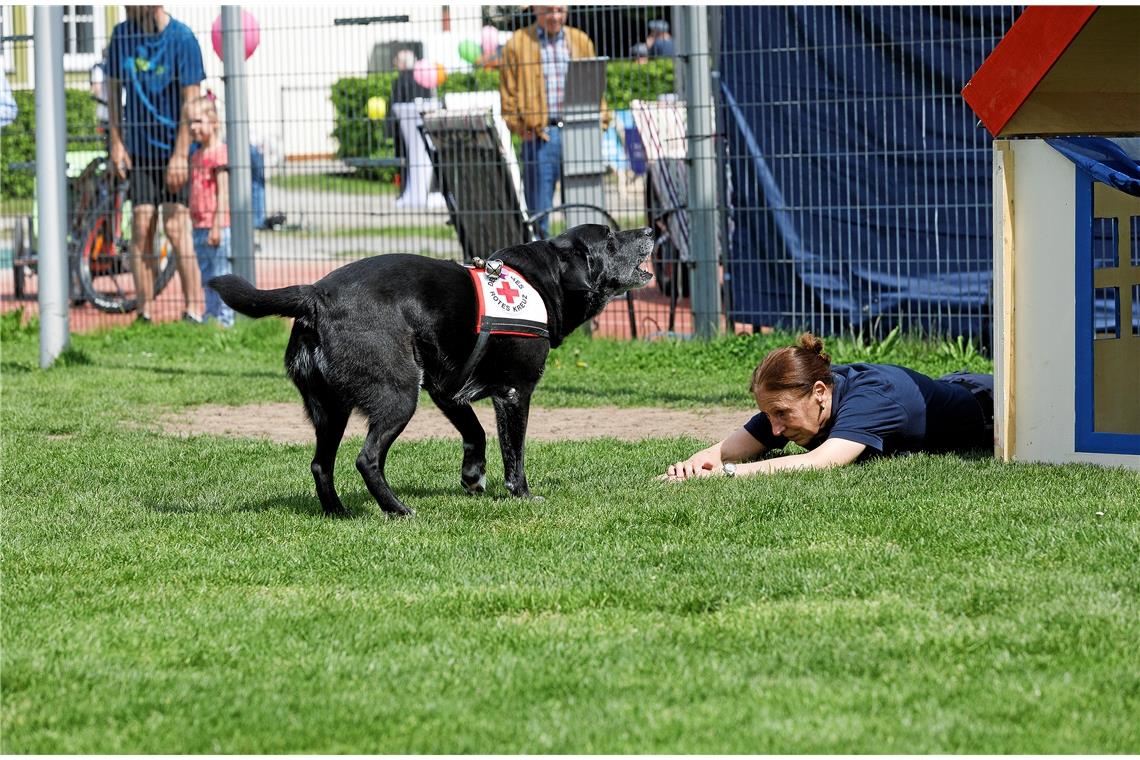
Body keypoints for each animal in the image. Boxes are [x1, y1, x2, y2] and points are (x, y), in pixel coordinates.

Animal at [209, 221, 656, 517]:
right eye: (611, 239)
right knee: (366, 459)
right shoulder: (514, 393)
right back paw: (398, 510)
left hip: (330, 409)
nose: (651, 230)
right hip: (398, 393)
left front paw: (473, 477)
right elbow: (514, 454)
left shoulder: (446, 390)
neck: (544, 281)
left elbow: (476, 434)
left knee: (321, 464)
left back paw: (339, 512)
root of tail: (315, 294)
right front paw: (522, 495)